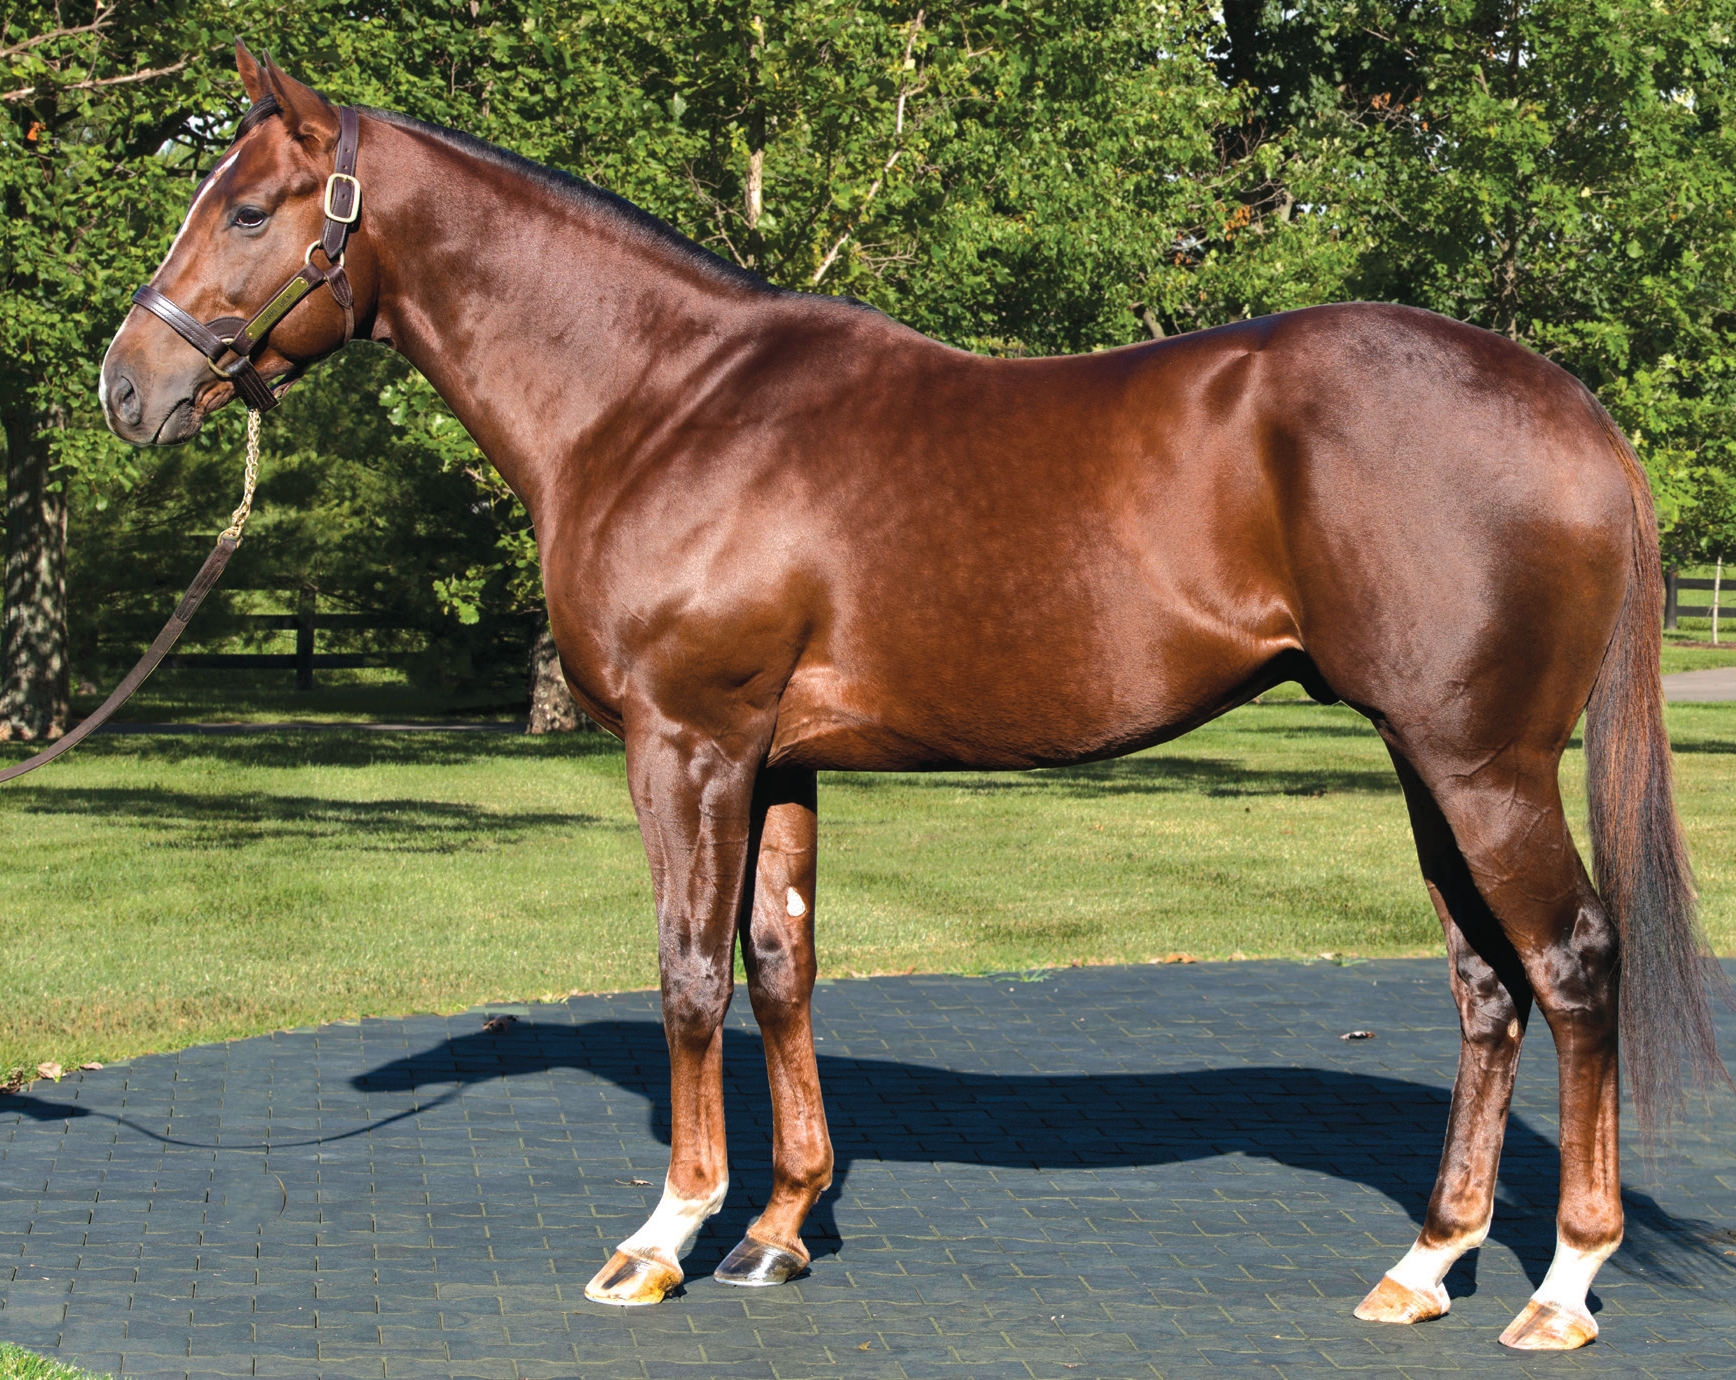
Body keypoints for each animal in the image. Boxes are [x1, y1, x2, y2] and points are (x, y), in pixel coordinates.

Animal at [99, 43, 1727, 1350]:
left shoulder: (687, 742)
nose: (128, 387)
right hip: (1427, 759)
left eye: (249, 209)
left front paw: (662, 1237)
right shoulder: (775, 756)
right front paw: (775, 1231)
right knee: (1485, 989)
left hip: (1482, 763)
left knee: (1571, 966)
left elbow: (688, 974)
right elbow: (780, 965)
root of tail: (1573, 414)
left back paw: (1561, 1284)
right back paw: (1426, 1262)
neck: (658, 401)